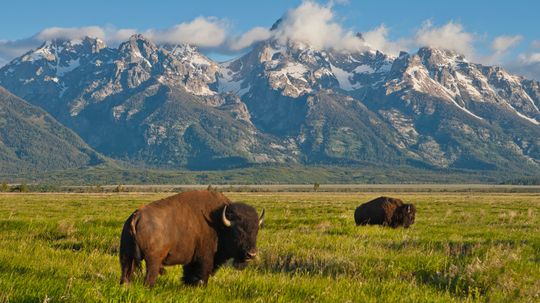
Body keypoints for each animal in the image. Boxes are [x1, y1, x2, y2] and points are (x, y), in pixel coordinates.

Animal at [121, 190, 266, 288]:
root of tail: (136, 216)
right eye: (238, 231)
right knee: (149, 278)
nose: (251, 254)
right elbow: (203, 274)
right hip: (153, 260)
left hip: (126, 257)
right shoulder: (205, 258)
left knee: (125, 275)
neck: (218, 222)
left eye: (256, 231)